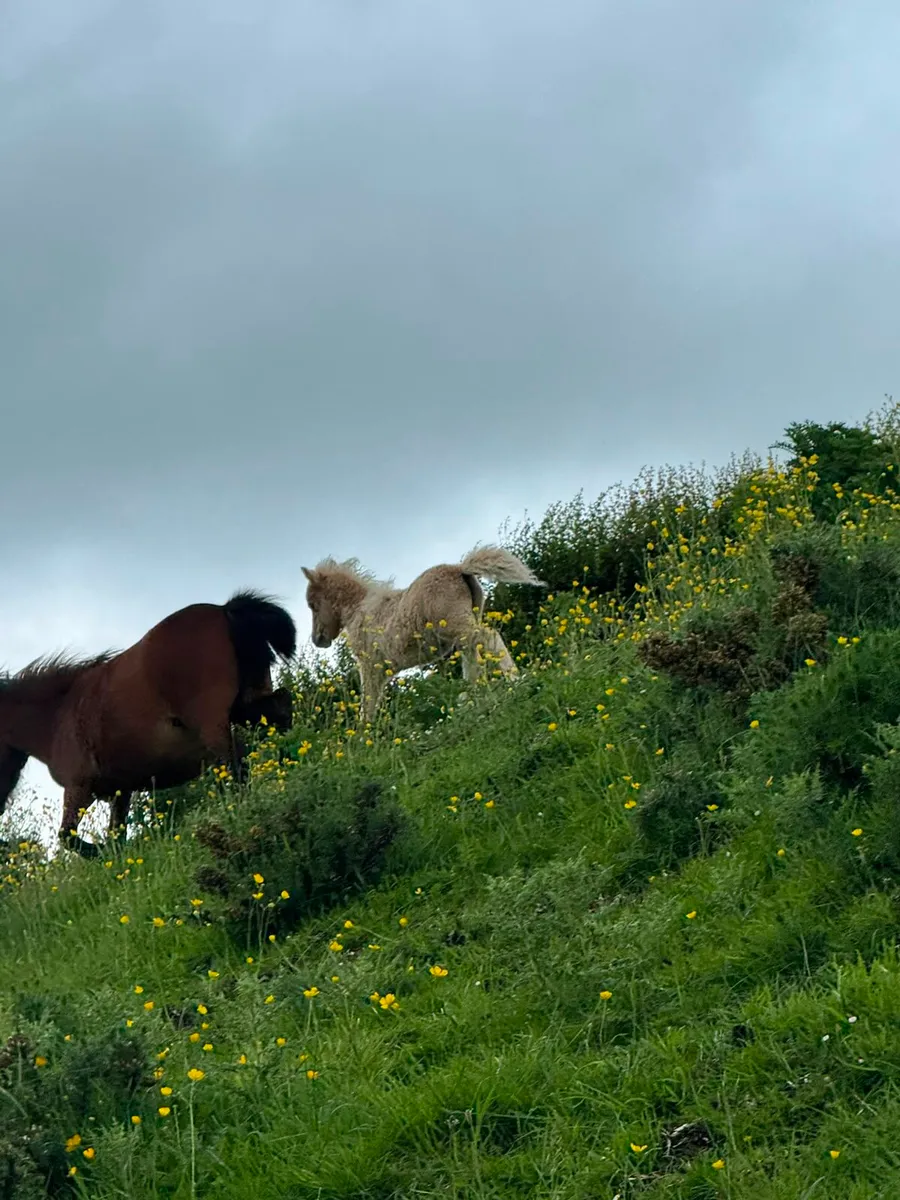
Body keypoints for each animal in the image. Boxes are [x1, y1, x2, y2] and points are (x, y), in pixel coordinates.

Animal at [0, 590, 297, 857]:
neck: (58, 715)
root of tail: (225, 610)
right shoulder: (120, 792)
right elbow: (115, 835)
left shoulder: (80, 788)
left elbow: (68, 836)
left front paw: (101, 853)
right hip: (248, 708)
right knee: (282, 712)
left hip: (215, 727)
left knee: (236, 768)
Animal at [302, 546, 545, 724]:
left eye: (313, 604)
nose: (318, 639)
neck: (358, 609)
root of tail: (459, 569)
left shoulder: (370, 665)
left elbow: (368, 701)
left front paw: (364, 737)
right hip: (464, 627)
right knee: (474, 652)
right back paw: (473, 695)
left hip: (458, 625)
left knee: (488, 637)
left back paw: (514, 679)